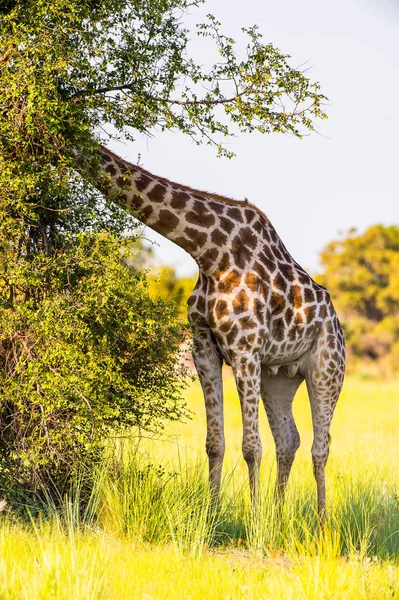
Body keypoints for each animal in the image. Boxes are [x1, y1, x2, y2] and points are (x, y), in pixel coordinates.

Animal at [76, 145, 346, 520]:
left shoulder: (244, 348)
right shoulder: (203, 348)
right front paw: (214, 516)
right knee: (288, 440)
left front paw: (254, 521)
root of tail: (336, 321)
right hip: (278, 375)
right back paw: (280, 517)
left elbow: (251, 446)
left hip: (327, 367)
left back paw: (319, 522)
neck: (209, 251)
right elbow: (214, 442)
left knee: (321, 447)